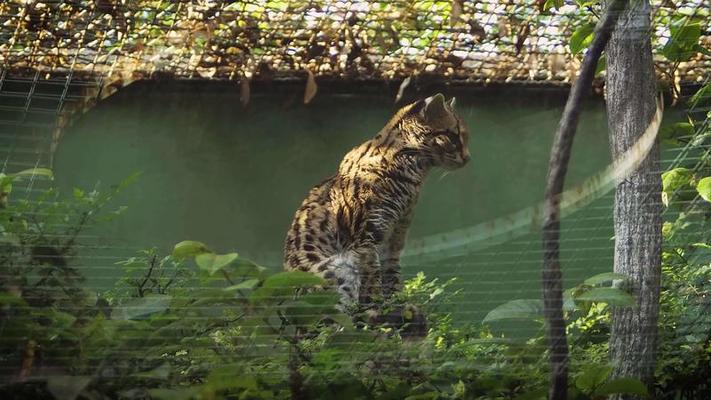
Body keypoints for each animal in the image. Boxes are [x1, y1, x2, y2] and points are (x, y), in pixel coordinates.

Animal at [284, 93, 472, 310]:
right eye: (453, 136)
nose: (468, 158)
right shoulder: (366, 239)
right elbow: (372, 279)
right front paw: (377, 306)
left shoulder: (394, 239)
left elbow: (392, 276)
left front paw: (397, 303)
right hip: (337, 269)